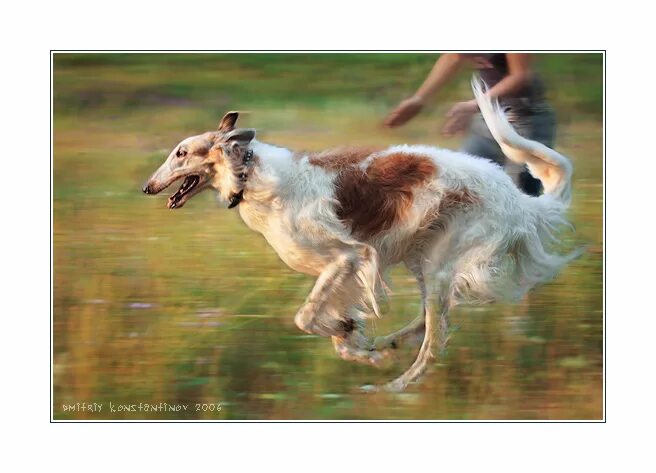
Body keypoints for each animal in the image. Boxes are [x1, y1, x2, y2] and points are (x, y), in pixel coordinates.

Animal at [142, 79, 576, 390]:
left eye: (181, 153)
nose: (147, 187)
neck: (251, 175)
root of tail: (519, 198)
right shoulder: (345, 274)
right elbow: (334, 328)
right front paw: (358, 341)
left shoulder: (348, 259)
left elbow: (306, 318)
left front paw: (360, 347)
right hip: (425, 261)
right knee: (430, 321)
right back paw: (390, 345)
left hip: (438, 266)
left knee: (434, 342)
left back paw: (395, 387)